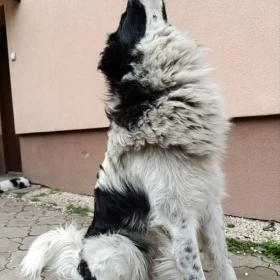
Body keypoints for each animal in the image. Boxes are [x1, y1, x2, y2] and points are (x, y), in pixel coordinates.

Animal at [21, 0, 236, 280]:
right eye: (127, 18)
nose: (129, 2)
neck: (157, 95)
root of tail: (80, 265)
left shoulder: (210, 205)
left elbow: (224, 263)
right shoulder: (178, 219)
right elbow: (195, 272)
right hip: (121, 246)